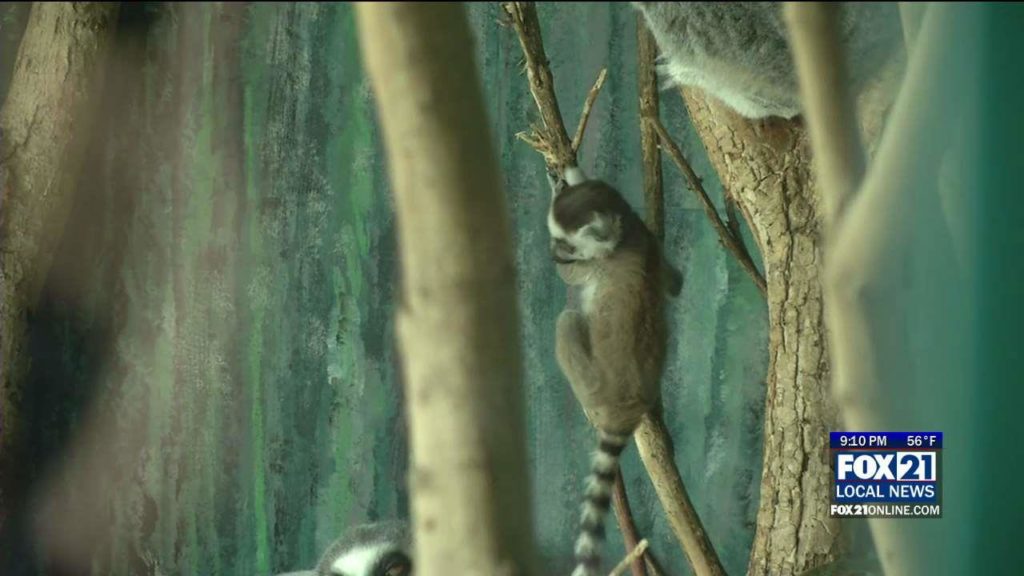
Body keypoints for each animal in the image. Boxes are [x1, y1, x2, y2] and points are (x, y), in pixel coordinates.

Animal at [547, 167, 681, 576]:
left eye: (568, 246)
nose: (553, 253)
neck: (626, 231)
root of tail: (629, 404)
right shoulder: (650, 240)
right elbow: (675, 284)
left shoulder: (596, 263)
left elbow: (571, 281)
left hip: (591, 380)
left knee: (567, 321)